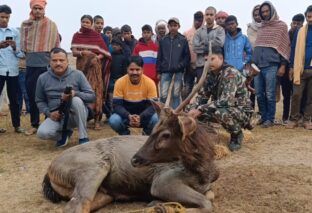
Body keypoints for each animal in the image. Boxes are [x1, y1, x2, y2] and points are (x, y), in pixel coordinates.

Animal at [42, 43, 222, 211]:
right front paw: (163, 206)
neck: (204, 171)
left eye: (166, 134)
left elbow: (210, 196)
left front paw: (159, 203)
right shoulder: (162, 181)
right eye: (154, 131)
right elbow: (207, 203)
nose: (135, 159)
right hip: (93, 168)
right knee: (77, 204)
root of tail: (50, 170)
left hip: (104, 193)